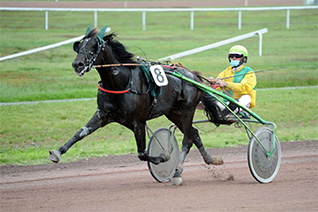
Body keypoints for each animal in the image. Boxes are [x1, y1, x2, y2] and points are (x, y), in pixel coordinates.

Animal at [48, 26, 222, 182]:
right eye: (79, 47)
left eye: (93, 46)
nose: (77, 64)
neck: (120, 83)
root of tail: (193, 76)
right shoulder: (102, 114)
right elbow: (80, 133)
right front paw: (58, 152)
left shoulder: (138, 121)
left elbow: (142, 153)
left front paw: (163, 157)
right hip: (173, 112)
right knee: (195, 134)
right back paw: (211, 159)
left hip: (188, 109)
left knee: (187, 139)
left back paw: (178, 172)